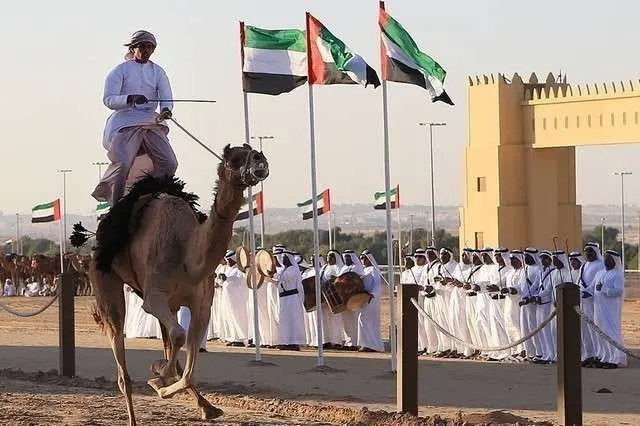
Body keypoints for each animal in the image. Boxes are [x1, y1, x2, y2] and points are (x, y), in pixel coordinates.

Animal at [84, 145, 268, 424]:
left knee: (170, 341)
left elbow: (189, 366)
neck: (188, 254)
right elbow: (180, 336)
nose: (260, 160)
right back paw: (134, 413)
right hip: (107, 283)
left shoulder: (201, 305)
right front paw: (159, 376)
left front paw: (163, 379)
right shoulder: (154, 297)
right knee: (121, 357)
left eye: (252, 151)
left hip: (163, 302)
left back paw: (204, 405)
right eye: (235, 157)